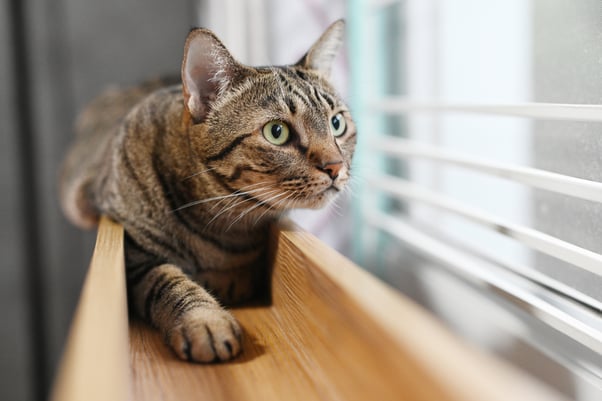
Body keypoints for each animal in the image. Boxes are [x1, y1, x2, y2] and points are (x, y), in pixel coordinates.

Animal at [58, 19, 354, 362]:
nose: (335, 166)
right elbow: (169, 282)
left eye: (336, 124)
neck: (219, 223)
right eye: (276, 132)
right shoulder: (132, 253)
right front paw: (205, 320)